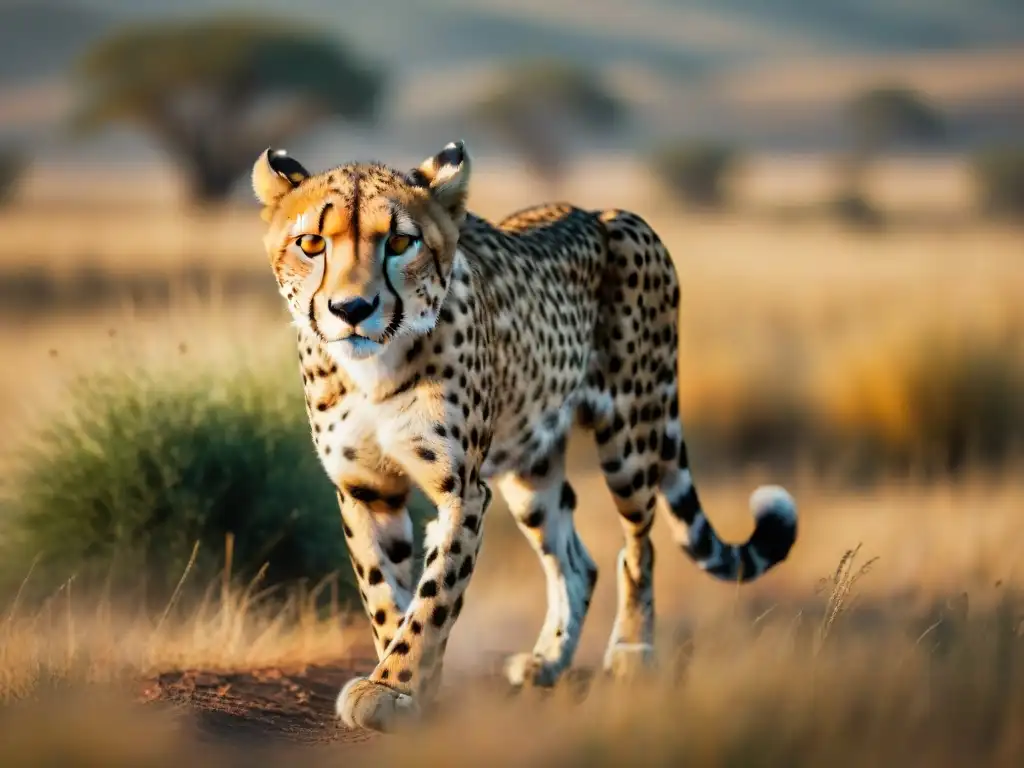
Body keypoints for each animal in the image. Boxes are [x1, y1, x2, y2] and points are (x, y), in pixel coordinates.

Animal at [251, 141, 794, 737]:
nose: (352, 310)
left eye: (398, 242)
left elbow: (435, 595)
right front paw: (405, 681)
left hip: (631, 435)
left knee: (638, 546)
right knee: (577, 561)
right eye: (311, 243)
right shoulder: (367, 489)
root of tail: (606, 211)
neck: (374, 367)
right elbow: (384, 594)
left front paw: (396, 684)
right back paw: (548, 659)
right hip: (529, 465)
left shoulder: (462, 490)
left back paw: (630, 653)